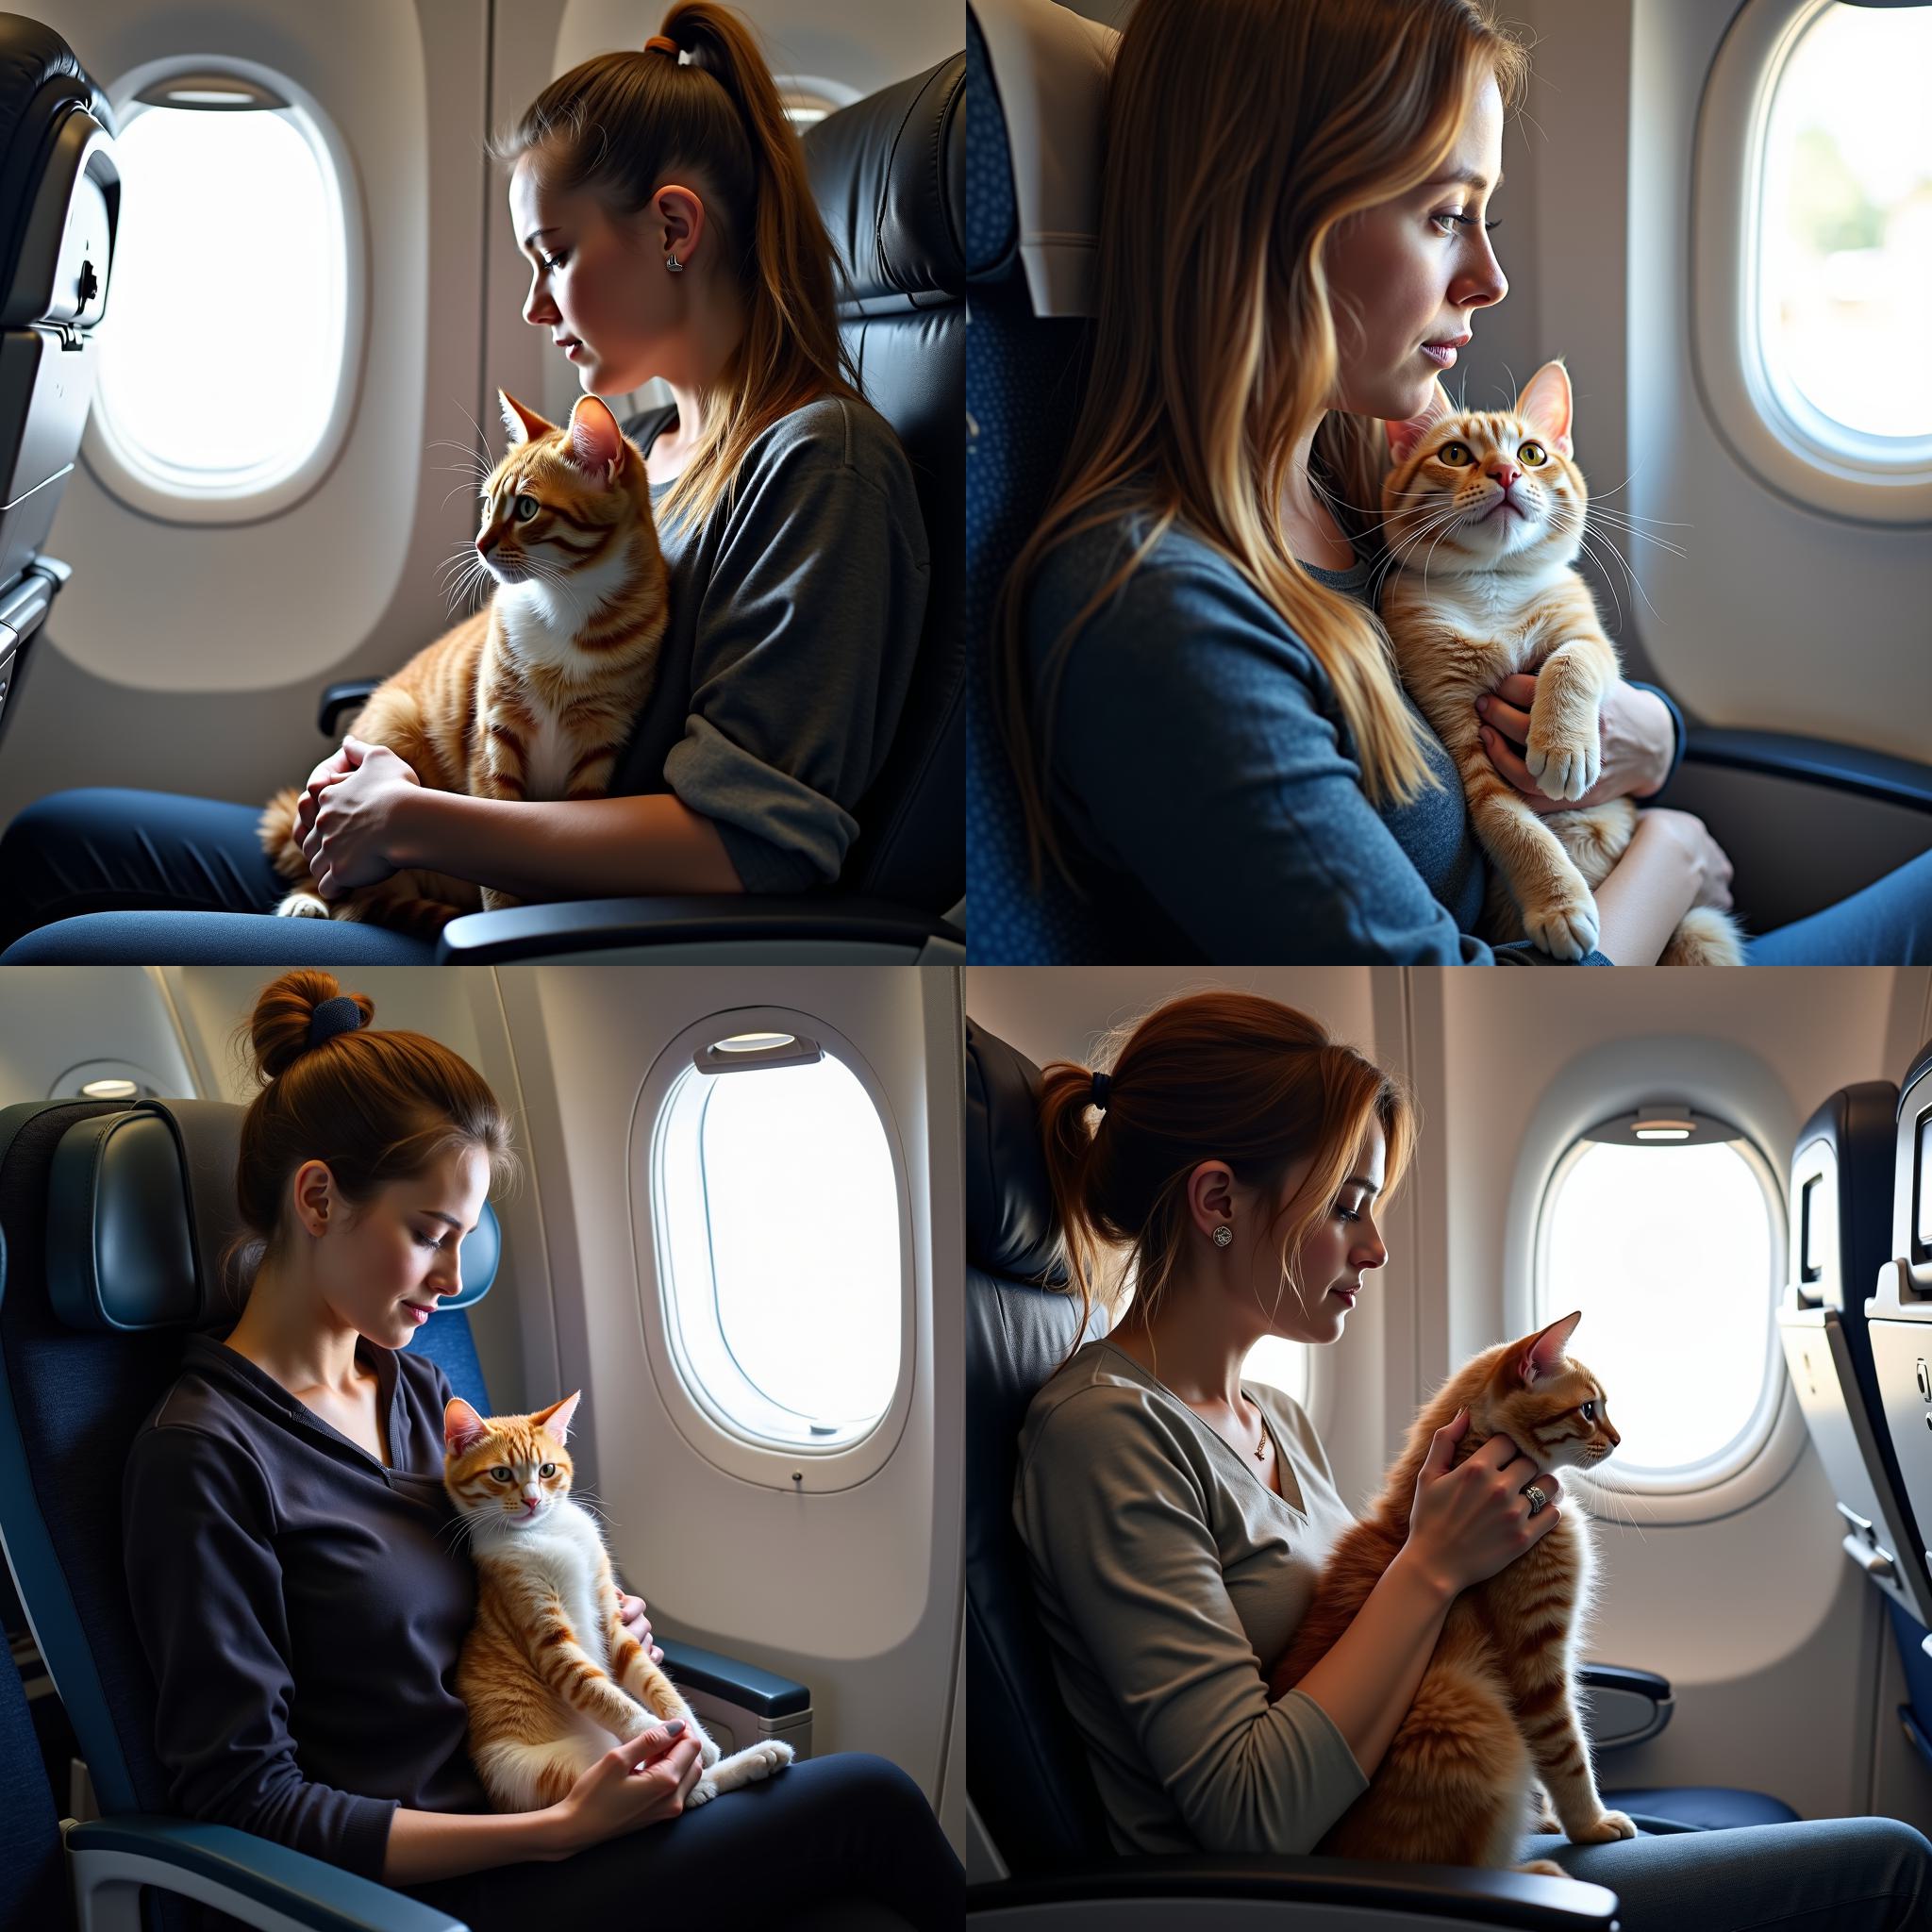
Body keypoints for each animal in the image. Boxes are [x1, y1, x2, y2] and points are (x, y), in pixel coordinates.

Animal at [260, 388, 672, 931]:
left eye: (526, 508)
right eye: (489, 504)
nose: (479, 544)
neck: (565, 601)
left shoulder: (599, 746)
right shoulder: (495, 738)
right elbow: (497, 879)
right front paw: (503, 918)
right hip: (394, 721)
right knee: (339, 884)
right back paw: (308, 900)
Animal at [444, 1391, 791, 1807]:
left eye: (546, 1470)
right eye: (500, 1474)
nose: (532, 1501)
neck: (546, 1530)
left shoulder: (611, 1619)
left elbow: (656, 1680)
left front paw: (696, 1735)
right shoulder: (546, 1636)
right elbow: (598, 1690)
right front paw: (657, 1731)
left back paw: (760, 1756)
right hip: (535, 1771)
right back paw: (702, 1783)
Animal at [1267, 1306, 1630, 1877]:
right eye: (1590, 1409)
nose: (1618, 1440)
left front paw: (1548, 1819)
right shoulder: (1536, 1662)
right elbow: (1565, 1750)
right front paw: (1587, 1823)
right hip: (1463, 1705)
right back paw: (1528, 1873)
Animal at [1383, 357, 1746, 966]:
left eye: (1532, 453)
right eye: (1454, 453)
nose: (1507, 473)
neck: (1493, 585)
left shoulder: (1590, 640)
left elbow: (1570, 662)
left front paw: (1563, 744)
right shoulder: (1459, 727)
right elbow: (1510, 822)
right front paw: (1559, 905)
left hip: (1702, 929)